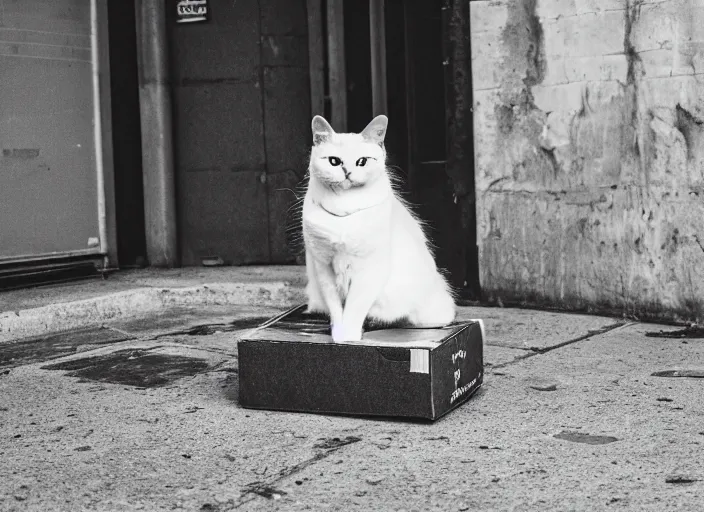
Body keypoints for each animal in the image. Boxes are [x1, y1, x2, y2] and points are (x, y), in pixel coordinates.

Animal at [302, 114, 456, 342]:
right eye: (334, 161)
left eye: (362, 161)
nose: (347, 172)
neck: (344, 211)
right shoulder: (324, 269)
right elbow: (337, 310)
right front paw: (339, 336)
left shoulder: (368, 270)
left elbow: (355, 308)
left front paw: (349, 337)